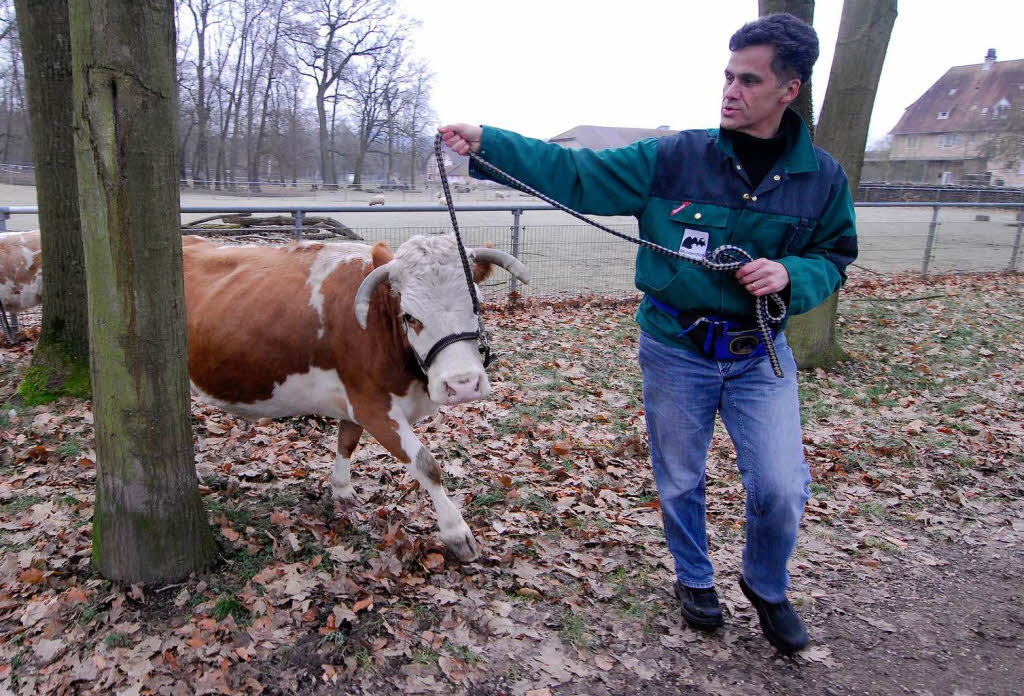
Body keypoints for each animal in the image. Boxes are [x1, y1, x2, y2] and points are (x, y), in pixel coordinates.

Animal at [184, 233, 532, 560]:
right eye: (409, 316)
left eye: (477, 305)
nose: (463, 385)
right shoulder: (373, 406)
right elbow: (426, 464)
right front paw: (456, 533)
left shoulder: (354, 399)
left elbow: (347, 441)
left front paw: (341, 489)